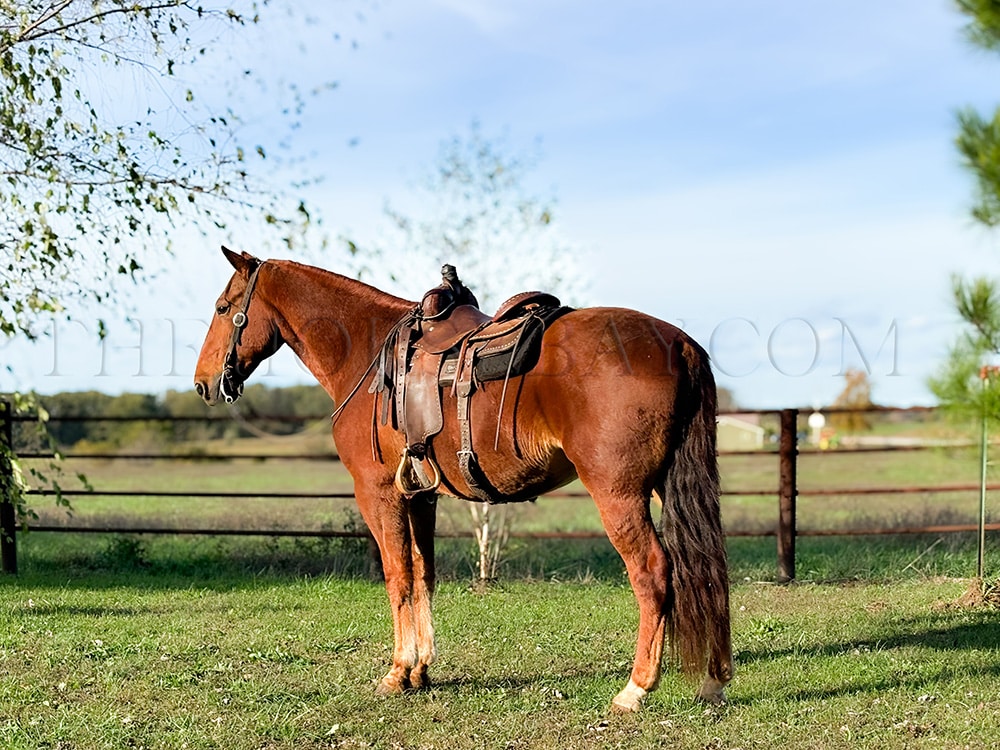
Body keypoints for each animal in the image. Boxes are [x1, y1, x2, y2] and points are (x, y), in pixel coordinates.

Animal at [194, 246, 732, 712]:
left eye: (223, 308)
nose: (203, 383)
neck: (367, 357)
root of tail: (679, 344)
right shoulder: (421, 496)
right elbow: (423, 573)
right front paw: (420, 671)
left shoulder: (380, 494)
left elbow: (397, 577)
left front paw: (397, 672)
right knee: (706, 567)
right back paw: (713, 680)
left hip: (619, 495)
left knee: (653, 573)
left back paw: (635, 689)